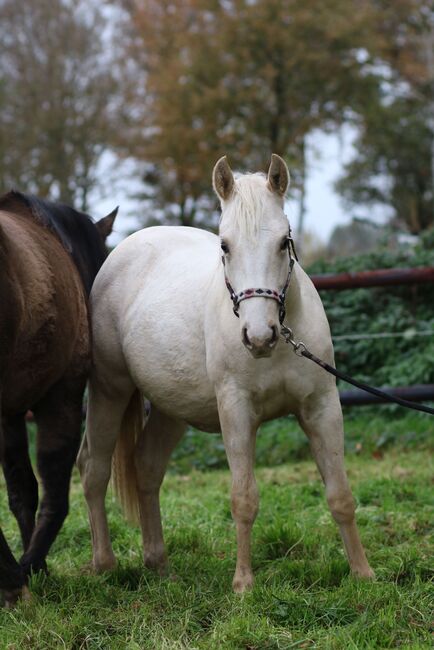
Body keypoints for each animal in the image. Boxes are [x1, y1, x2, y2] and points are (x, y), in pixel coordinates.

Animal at [0, 190, 117, 604]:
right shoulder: (61, 397)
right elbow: (55, 488)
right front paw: (31, 566)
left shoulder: (9, 415)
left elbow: (22, 489)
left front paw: (35, 564)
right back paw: (12, 582)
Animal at [79, 154, 372, 588]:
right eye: (224, 245)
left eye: (283, 241)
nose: (259, 337)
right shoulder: (236, 411)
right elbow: (244, 498)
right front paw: (244, 584)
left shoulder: (321, 407)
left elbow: (340, 494)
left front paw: (363, 573)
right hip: (109, 391)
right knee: (94, 469)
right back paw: (104, 565)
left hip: (171, 408)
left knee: (146, 467)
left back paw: (158, 564)